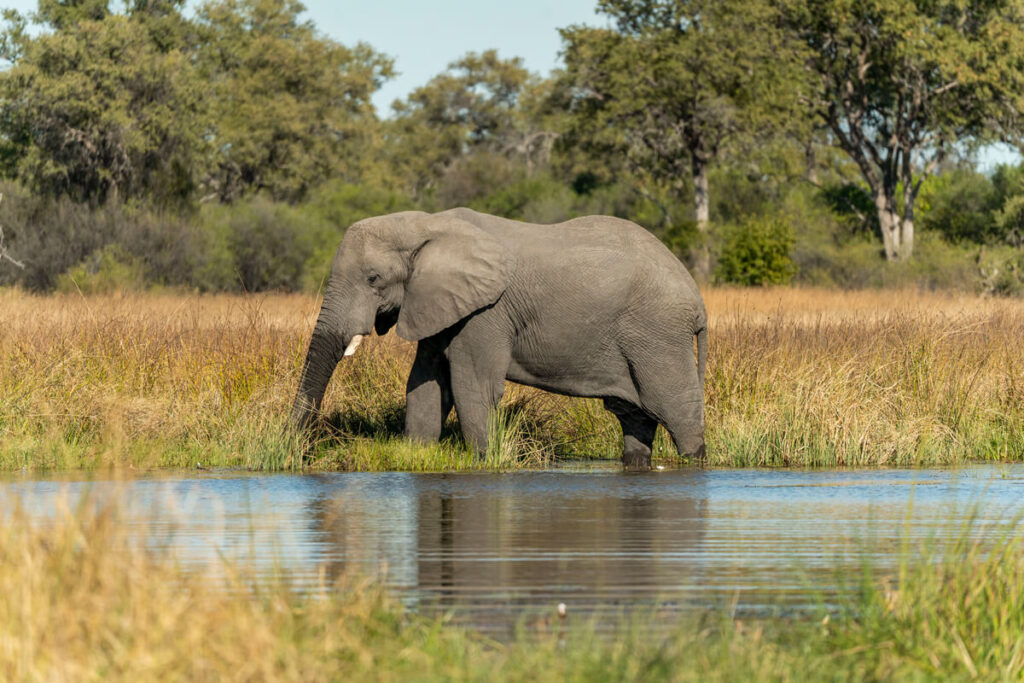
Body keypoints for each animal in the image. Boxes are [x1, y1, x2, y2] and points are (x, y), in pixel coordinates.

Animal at [289, 207, 707, 469]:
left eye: (373, 278)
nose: (298, 452)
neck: (426, 226)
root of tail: (697, 298)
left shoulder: (486, 313)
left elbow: (472, 387)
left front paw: (484, 462)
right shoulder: (439, 303)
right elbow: (425, 385)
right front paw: (417, 455)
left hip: (658, 335)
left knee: (674, 409)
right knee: (635, 417)